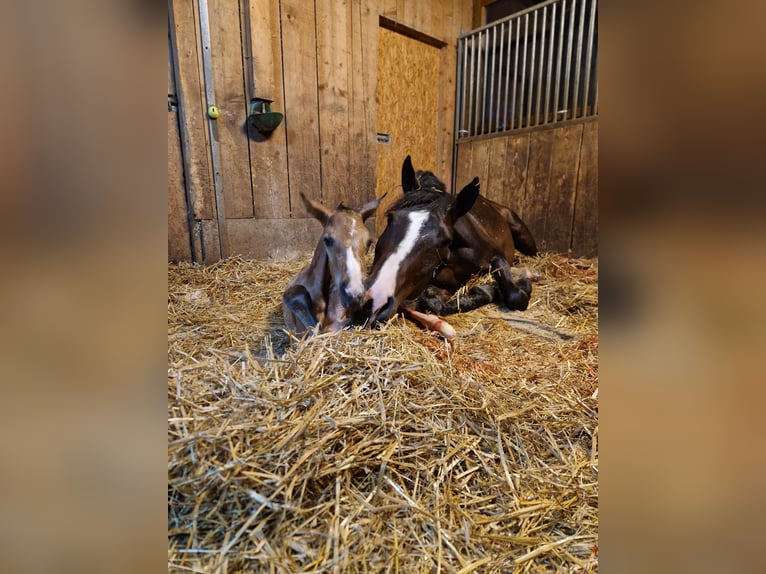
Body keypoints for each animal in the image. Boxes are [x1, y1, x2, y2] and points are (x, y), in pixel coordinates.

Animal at [364, 155, 538, 326]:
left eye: (444, 240)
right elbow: (434, 302)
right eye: (390, 219)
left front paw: (522, 285)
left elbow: (515, 295)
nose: (374, 301)